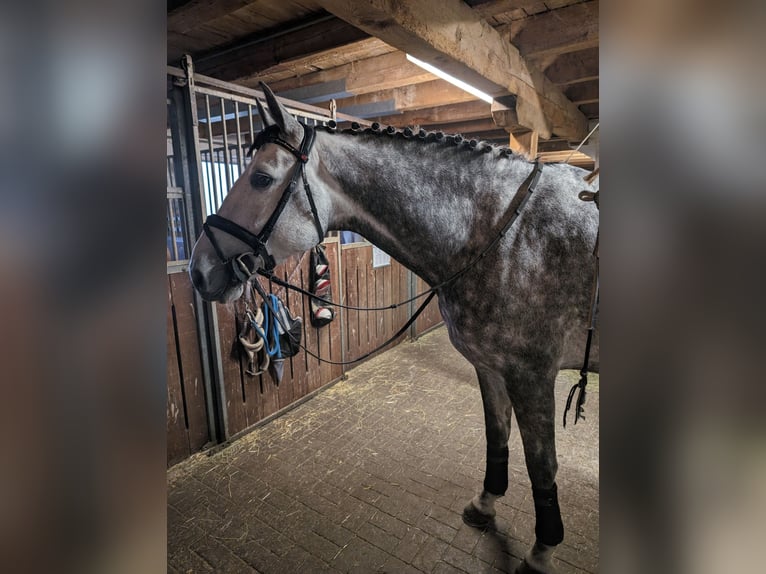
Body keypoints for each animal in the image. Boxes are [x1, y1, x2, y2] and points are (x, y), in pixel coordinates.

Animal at [190, 83, 600, 572]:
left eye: (261, 179)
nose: (198, 271)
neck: (508, 236)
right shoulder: (490, 368)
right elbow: (496, 436)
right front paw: (485, 503)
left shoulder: (532, 376)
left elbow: (542, 465)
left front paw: (542, 550)